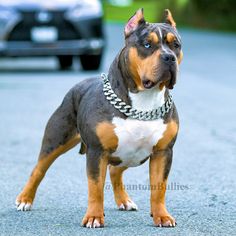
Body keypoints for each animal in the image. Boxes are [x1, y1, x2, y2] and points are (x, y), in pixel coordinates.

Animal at [15, 8, 183, 228]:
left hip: (129, 154)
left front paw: (161, 216)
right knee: (38, 170)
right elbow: (95, 187)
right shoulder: (97, 152)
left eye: (176, 45)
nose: (169, 57)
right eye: (147, 44)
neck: (143, 103)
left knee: (115, 171)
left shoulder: (163, 153)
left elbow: (159, 188)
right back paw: (25, 199)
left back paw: (124, 201)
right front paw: (94, 217)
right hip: (56, 141)